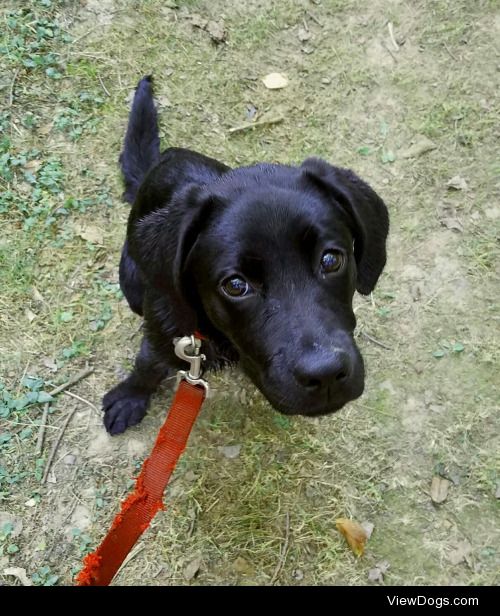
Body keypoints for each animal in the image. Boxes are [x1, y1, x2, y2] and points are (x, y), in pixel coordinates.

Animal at [103, 76, 388, 434]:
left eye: (331, 260)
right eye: (235, 285)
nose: (325, 375)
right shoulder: (164, 329)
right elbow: (147, 363)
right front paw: (130, 396)